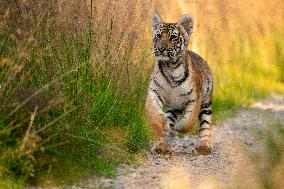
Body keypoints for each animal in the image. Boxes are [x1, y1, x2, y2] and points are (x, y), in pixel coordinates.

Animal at [146, 13, 213, 155]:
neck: (171, 68)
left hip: (206, 102)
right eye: (158, 36)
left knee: (205, 123)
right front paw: (162, 126)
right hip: (174, 106)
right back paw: (164, 144)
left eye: (173, 37)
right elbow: (153, 111)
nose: (161, 48)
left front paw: (179, 126)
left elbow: (189, 121)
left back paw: (204, 145)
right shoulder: (154, 92)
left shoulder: (195, 98)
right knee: (170, 119)